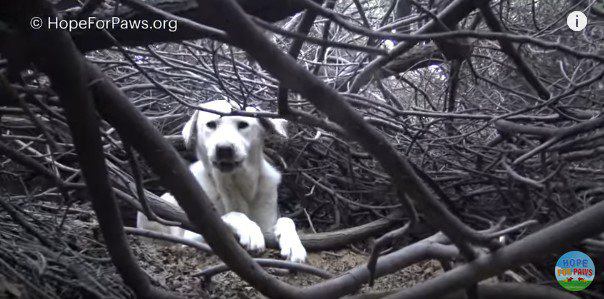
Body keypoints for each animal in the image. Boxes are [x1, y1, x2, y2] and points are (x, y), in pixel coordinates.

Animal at [137, 100, 306, 262]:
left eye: (243, 124)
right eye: (211, 124)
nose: (224, 148)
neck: (234, 184)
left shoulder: (267, 222)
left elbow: (286, 220)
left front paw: (294, 246)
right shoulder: (193, 237)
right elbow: (231, 215)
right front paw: (250, 230)